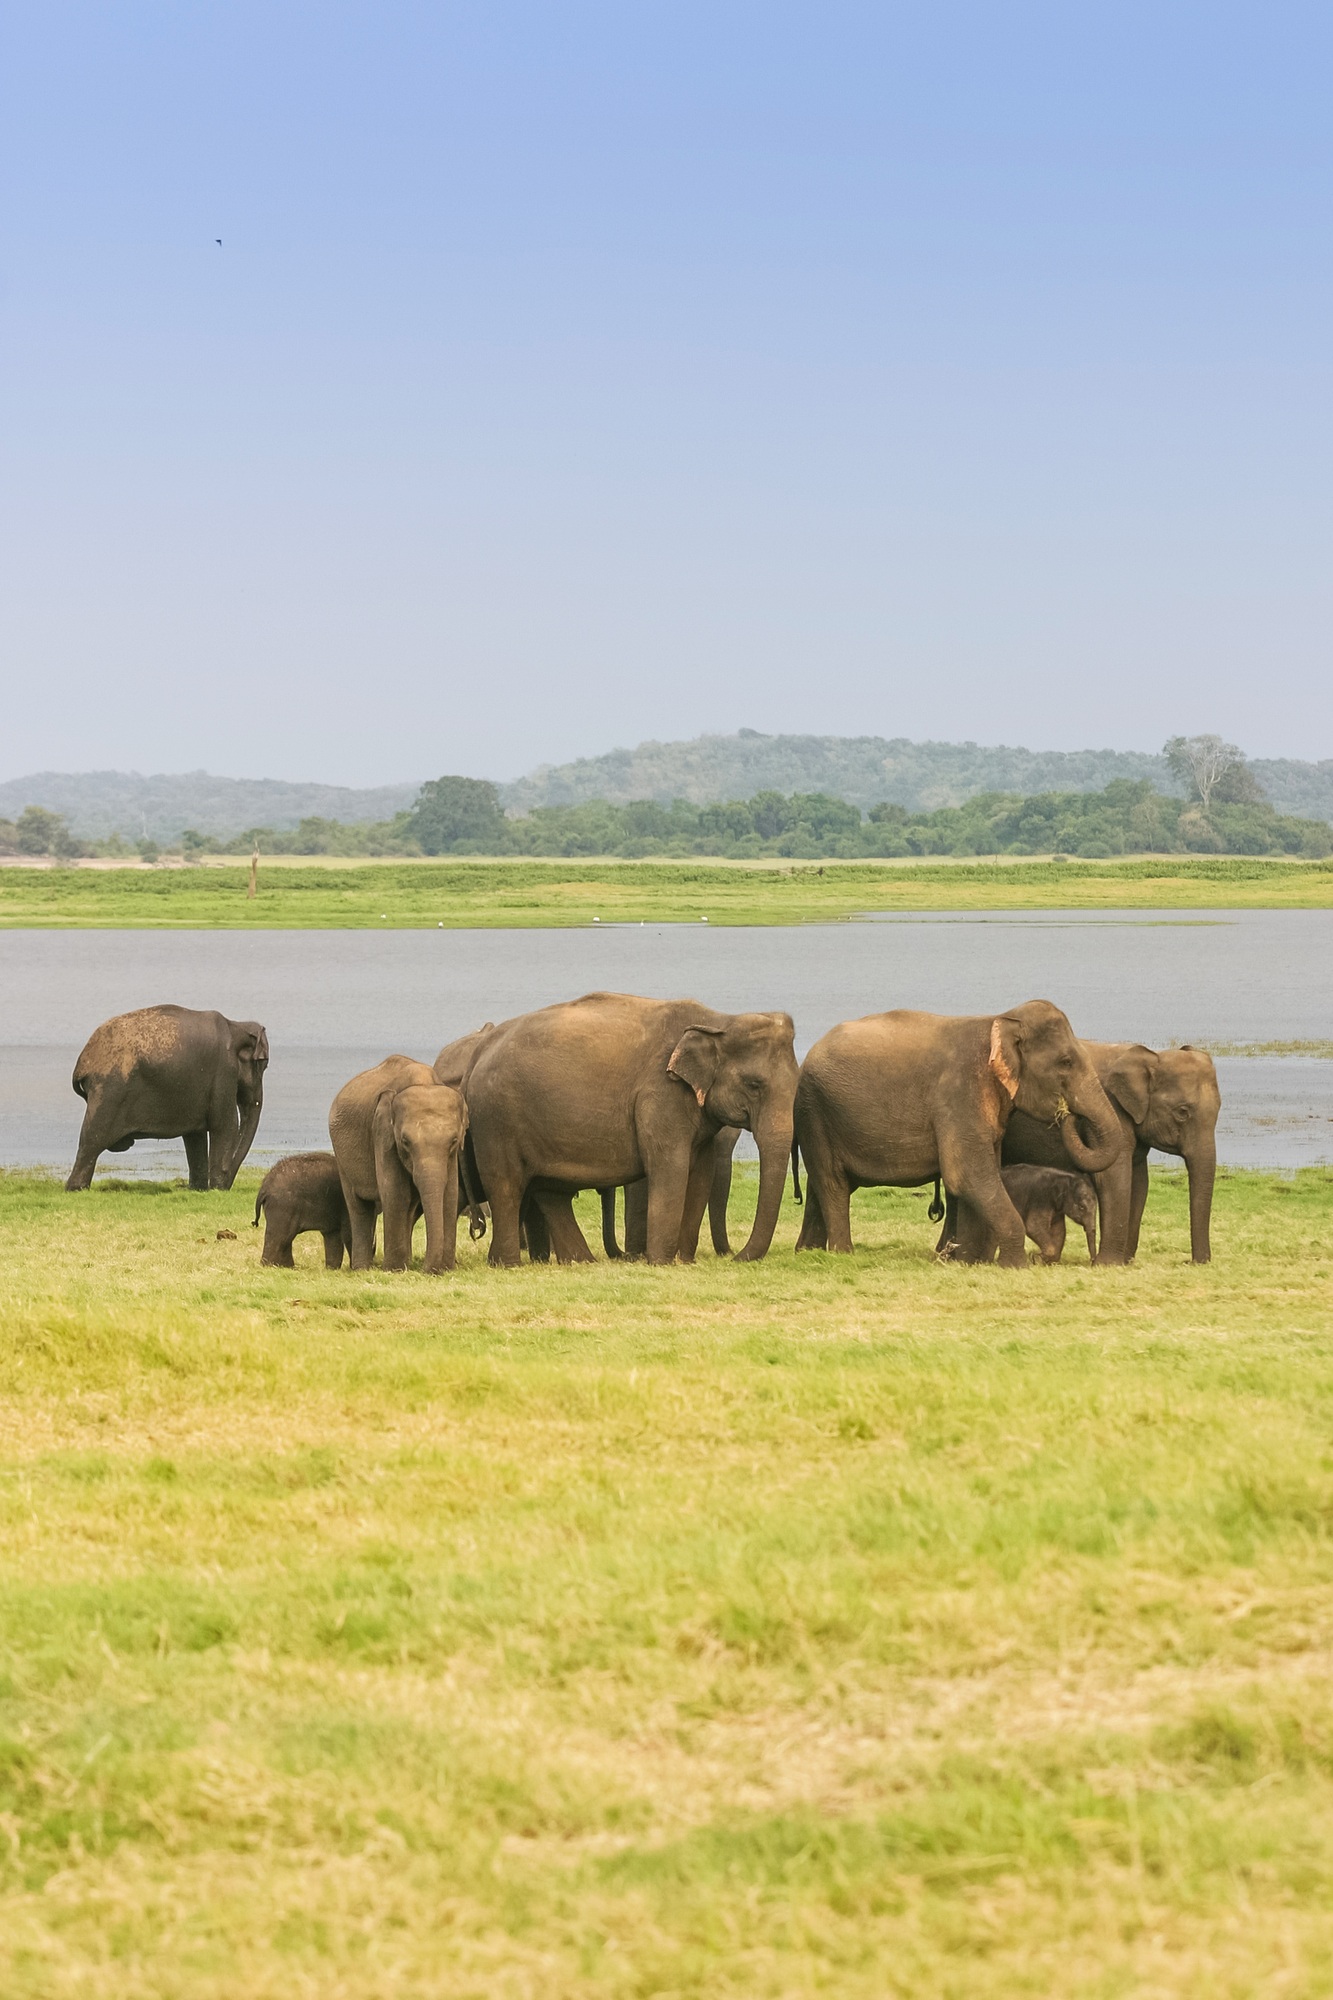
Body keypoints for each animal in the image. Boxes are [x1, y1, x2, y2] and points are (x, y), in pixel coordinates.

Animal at [66, 1004, 269, 1191]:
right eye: (262, 1064)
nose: (226, 1184)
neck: (235, 1025)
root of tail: (82, 1062)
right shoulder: (224, 1072)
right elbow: (226, 1125)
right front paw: (216, 1190)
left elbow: (195, 1134)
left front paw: (198, 1190)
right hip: (110, 1091)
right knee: (92, 1139)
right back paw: (76, 1189)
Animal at [330, 1056, 467, 1271]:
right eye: (405, 1142)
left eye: (453, 1141)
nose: (426, 1270)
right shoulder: (382, 1133)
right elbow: (395, 1190)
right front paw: (394, 1270)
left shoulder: (453, 1154)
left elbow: (450, 1193)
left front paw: (444, 1269)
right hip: (341, 1155)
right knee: (358, 1206)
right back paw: (362, 1268)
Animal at [463, 992, 798, 1266]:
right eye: (754, 1085)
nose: (735, 1258)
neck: (719, 1020)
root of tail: (479, 1051)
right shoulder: (660, 1094)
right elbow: (670, 1168)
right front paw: (662, 1263)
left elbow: (701, 1173)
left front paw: (685, 1261)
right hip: (496, 1119)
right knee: (506, 1186)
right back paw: (508, 1264)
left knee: (551, 1192)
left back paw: (580, 1262)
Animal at [794, 999, 1122, 1266]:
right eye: (1065, 1062)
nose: (1066, 1113)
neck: (999, 1021)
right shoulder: (959, 1094)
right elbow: (967, 1175)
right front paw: (1014, 1265)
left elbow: (977, 1178)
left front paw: (965, 1261)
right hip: (816, 1111)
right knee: (833, 1183)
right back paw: (842, 1254)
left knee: (822, 1186)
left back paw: (808, 1252)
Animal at [1001, 1042, 1221, 1263]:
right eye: (1182, 1112)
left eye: (1219, 1110)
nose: (1191, 1262)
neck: (1149, 1056)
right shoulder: (1111, 1107)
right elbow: (1113, 1177)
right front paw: (1108, 1264)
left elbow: (1139, 1182)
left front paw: (1124, 1262)